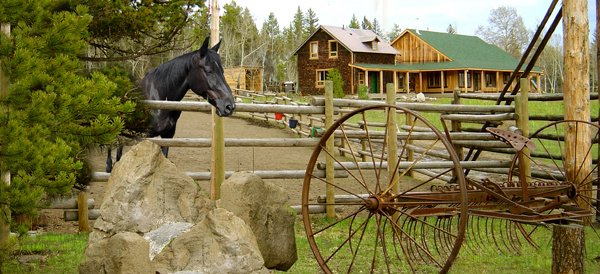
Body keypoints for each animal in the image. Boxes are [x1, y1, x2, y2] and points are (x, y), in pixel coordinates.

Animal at [105, 37, 234, 172]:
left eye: (222, 71)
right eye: (209, 71)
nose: (229, 106)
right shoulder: (143, 138)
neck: (160, 99)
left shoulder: (168, 136)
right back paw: (109, 166)